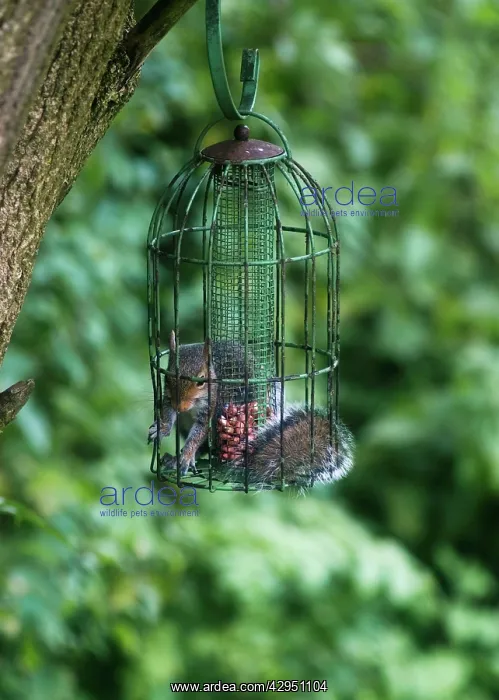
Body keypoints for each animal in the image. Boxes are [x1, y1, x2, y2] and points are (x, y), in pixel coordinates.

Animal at [148, 332, 354, 486]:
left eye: (201, 380)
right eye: (167, 377)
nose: (181, 407)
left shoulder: (211, 405)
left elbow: (199, 433)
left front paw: (187, 454)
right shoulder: (168, 399)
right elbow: (167, 411)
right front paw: (162, 428)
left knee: (205, 446)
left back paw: (185, 458)